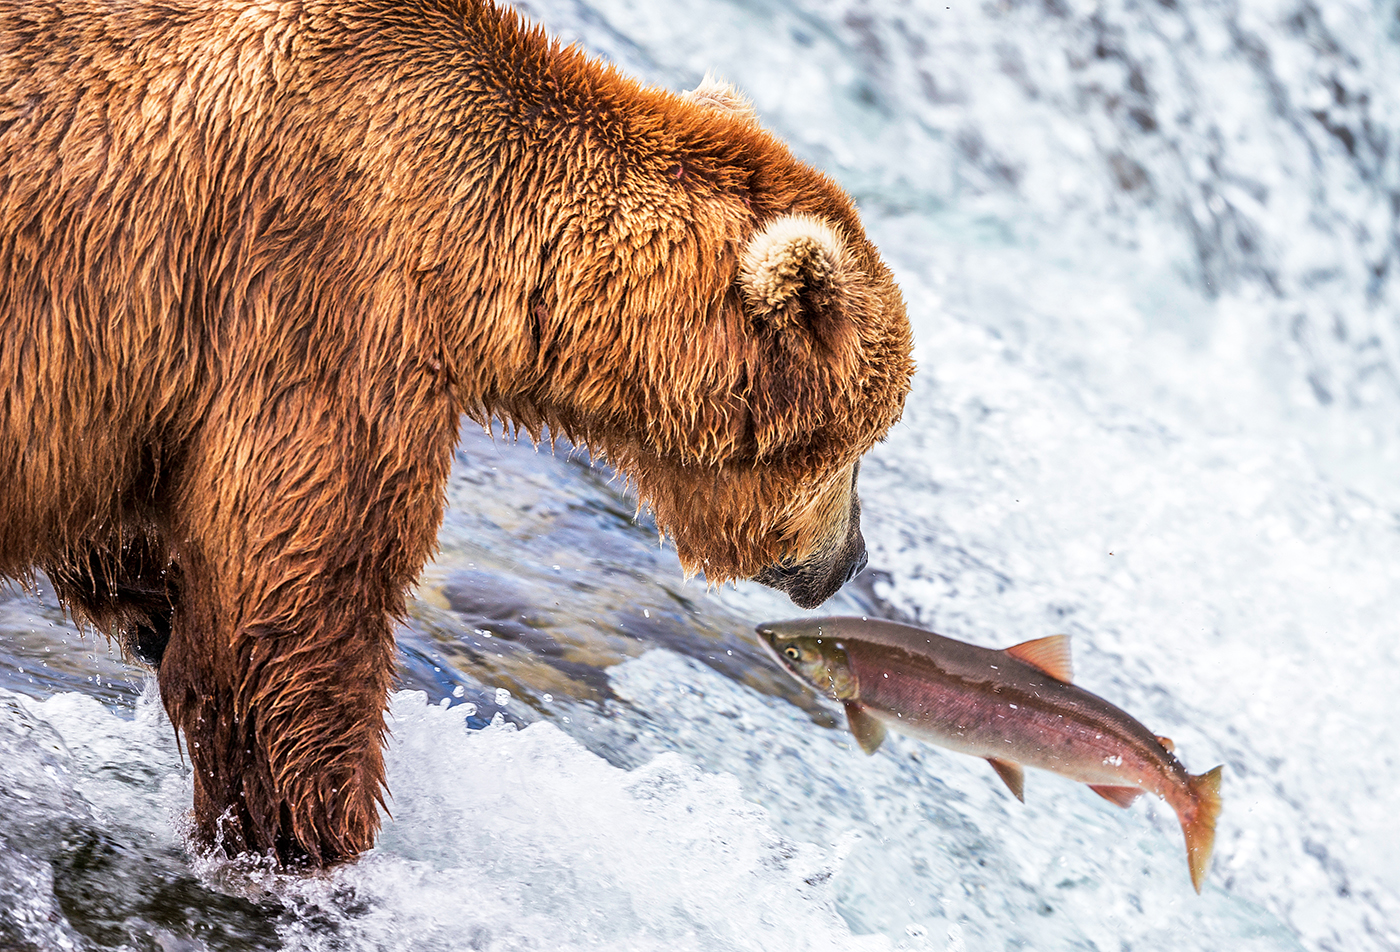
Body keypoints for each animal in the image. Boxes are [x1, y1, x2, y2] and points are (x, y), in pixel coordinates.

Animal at [0, 0, 914, 866]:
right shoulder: (320, 305)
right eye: (863, 444)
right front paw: (317, 841)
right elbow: (293, 607)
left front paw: (155, 615)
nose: (850, 558)